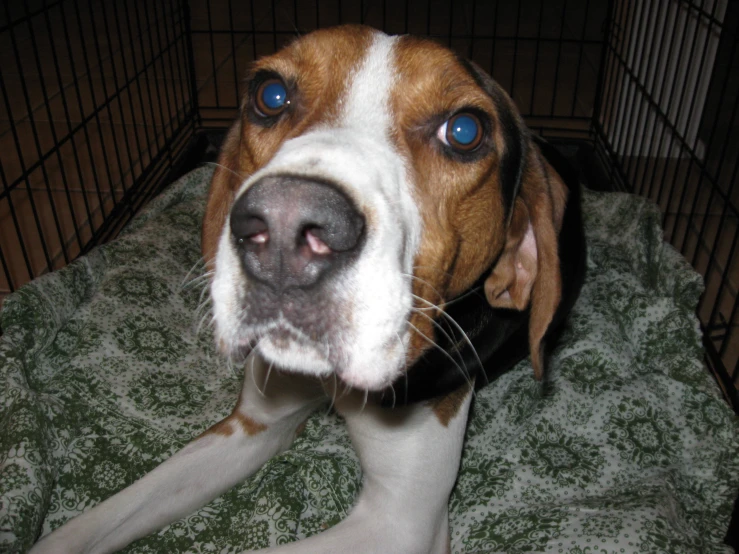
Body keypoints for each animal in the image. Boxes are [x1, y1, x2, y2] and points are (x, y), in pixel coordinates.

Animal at [30, 24, 584, 552]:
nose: (283, 227)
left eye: (466, 130)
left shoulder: (399, 522)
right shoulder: (250, 427)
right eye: (269, 94)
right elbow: (85, 526)